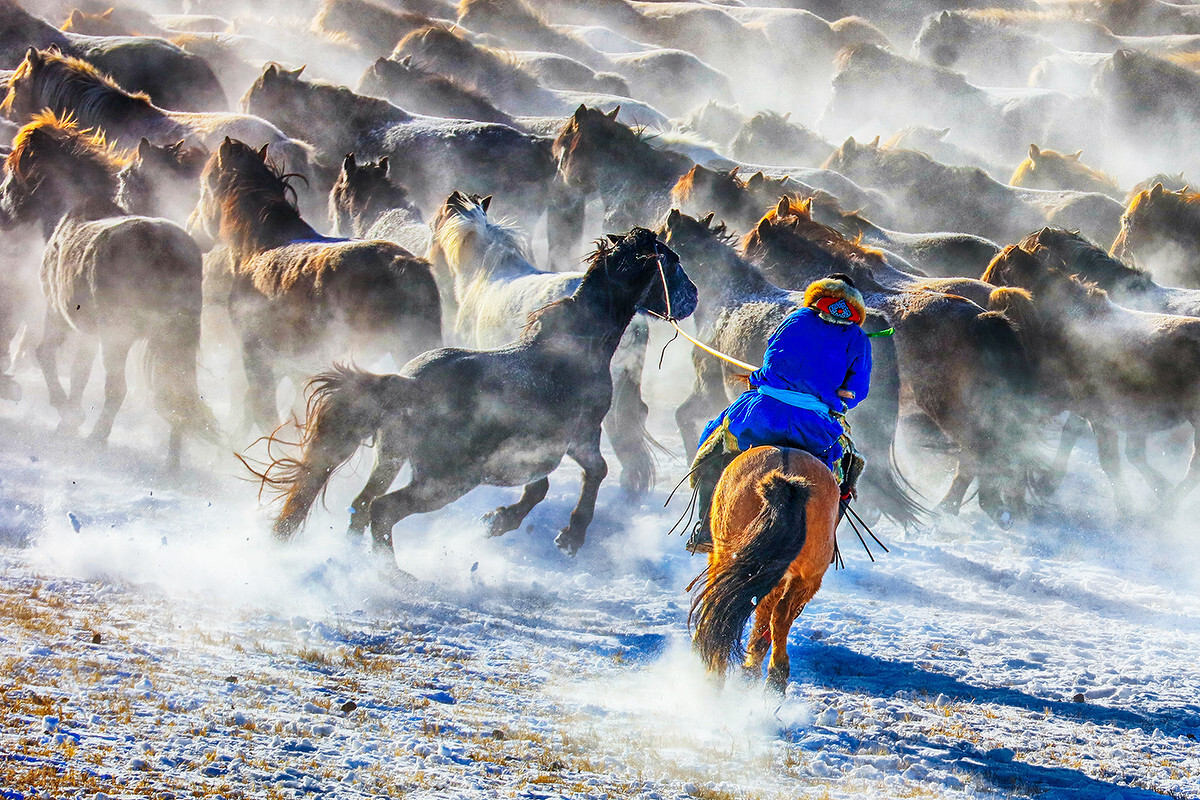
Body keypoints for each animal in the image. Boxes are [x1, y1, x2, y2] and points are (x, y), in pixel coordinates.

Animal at [0, 109, 218, 465]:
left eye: (16, 169)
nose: (4, 210)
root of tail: (166, 250)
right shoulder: (88, 333)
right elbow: (79, 372)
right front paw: (69, 421)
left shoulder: (58, 314)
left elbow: (46, 355)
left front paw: (68, 414)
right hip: (172, 338)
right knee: (176, 392)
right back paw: (172, 460)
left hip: (120, 336)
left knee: (118, 388)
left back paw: (98, 439)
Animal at [189, 138, 444, 438]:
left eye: (206, 185)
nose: (192, 228)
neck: (261, 246)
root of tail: (403, 264)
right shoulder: (297, 364)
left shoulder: (257, 356)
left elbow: (263, 410)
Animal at [691, 448, 840, 690]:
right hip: (808, 575)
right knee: (780, 615)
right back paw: (774, 676)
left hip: (730, 556)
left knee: (725, 608)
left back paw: (716, 675)